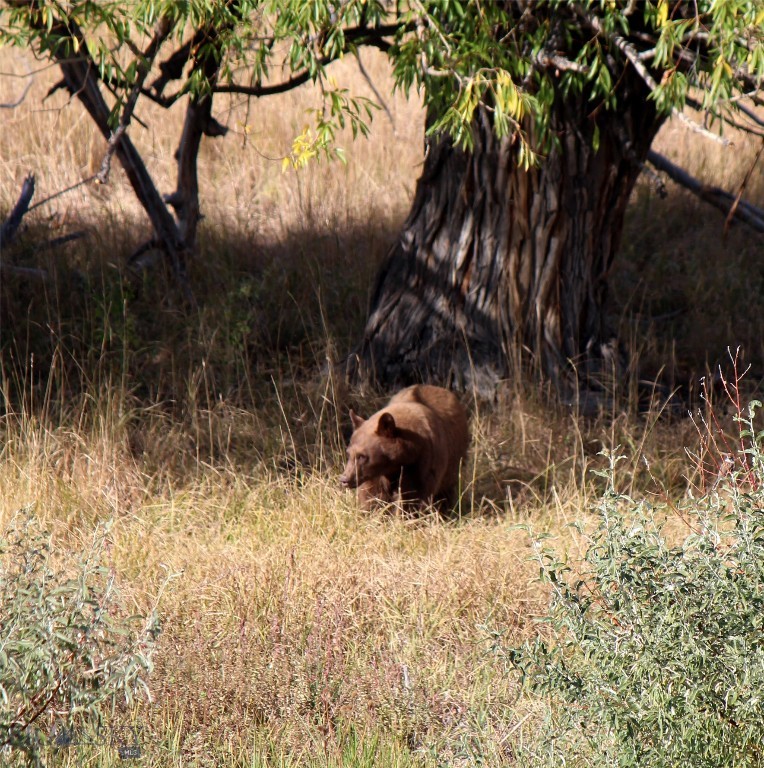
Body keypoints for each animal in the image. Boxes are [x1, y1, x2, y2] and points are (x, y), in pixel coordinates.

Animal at [342, 384, 472, 510]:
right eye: (348, 453)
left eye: (362, 456)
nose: (344, 479)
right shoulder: (374, 474)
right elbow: (372, 496)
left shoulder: (423, 464)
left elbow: (413, 498)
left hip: (455, 461)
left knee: (446, 491)